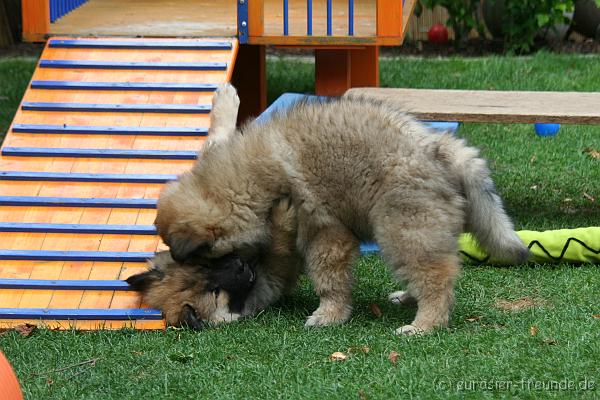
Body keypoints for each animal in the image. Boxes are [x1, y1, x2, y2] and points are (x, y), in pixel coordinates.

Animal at [154, 83, 524, 334]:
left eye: (202, 260)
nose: (242, 268)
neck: (247, 178)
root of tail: (437, 147)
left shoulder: (325, 231)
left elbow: (328, 278)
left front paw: (328, 314)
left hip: (404, 227)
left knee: (436, 279)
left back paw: (424, 324)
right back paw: (408, 298)